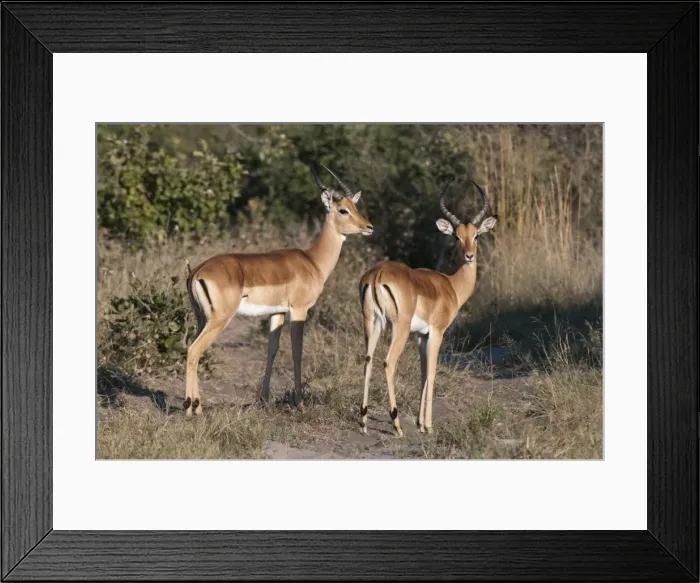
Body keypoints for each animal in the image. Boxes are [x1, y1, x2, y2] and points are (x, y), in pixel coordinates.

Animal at [184, 165, 373, 416]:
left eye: (355, 207)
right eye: (343, 210)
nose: (369, 227)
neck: (313, 262)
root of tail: (198, 271)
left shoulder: (278, 312)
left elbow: (272, 350)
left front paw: (264, 399)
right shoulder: (299, 310)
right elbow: (296, 352)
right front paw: (299, 402)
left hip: (201, 318)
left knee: (191, 349)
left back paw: (196, 406)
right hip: (219, 320)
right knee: (194, 351)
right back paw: (192, 409)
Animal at [359, 177, 497, 435]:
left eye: (476, 235)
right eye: (456, 236)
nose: (469, 256)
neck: (451, 286)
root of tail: (378, 274)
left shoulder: (421, 336)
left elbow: (422, 374)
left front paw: (420, 423)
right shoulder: (436, 332)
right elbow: (432, 373)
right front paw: (429, 426)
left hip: (372, 324)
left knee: (368, 361)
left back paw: (363, 422)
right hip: (399, 328)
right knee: (388, 363)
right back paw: (396, 425)